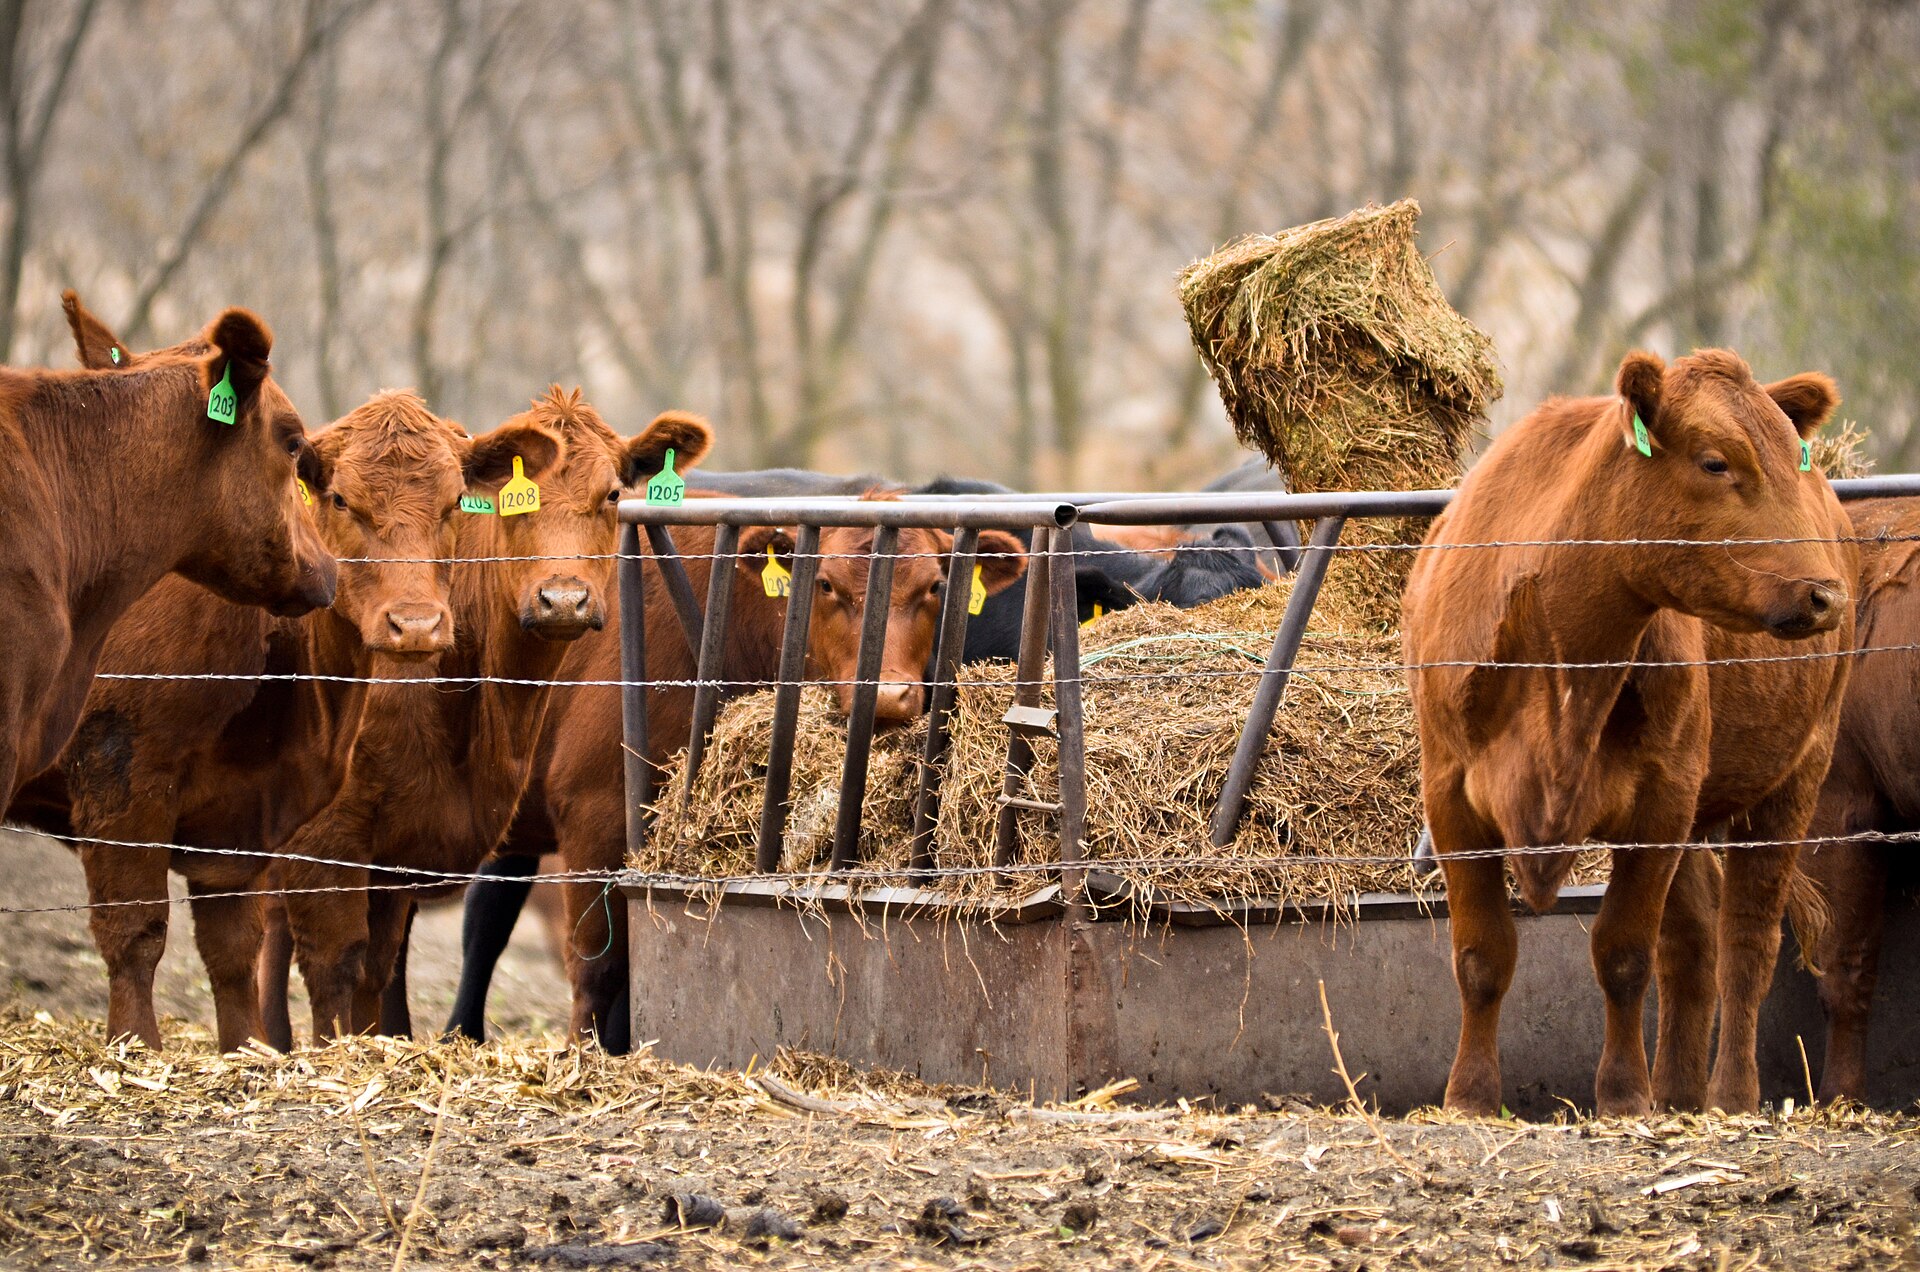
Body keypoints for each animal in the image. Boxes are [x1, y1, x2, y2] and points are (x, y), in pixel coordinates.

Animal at [438, 504, 1028, 1049]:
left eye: (935, 585)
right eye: (825, 583)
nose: (885, 695)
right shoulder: (594, 811)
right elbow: (598, 963)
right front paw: (583, 1059)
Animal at [1402, 348, 1851, 1117]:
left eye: (1793, 459)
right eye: (1714, 461)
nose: (1824, 594)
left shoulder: (1660, 803)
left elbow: (1625, 953)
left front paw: (1622, 1096)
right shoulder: (1452, 796)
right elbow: (1481, 955)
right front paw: (1470, 1096)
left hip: (1797, 772)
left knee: (1745, 943)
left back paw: (1728, 1095)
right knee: (1696, 939)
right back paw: (1678, 1092)